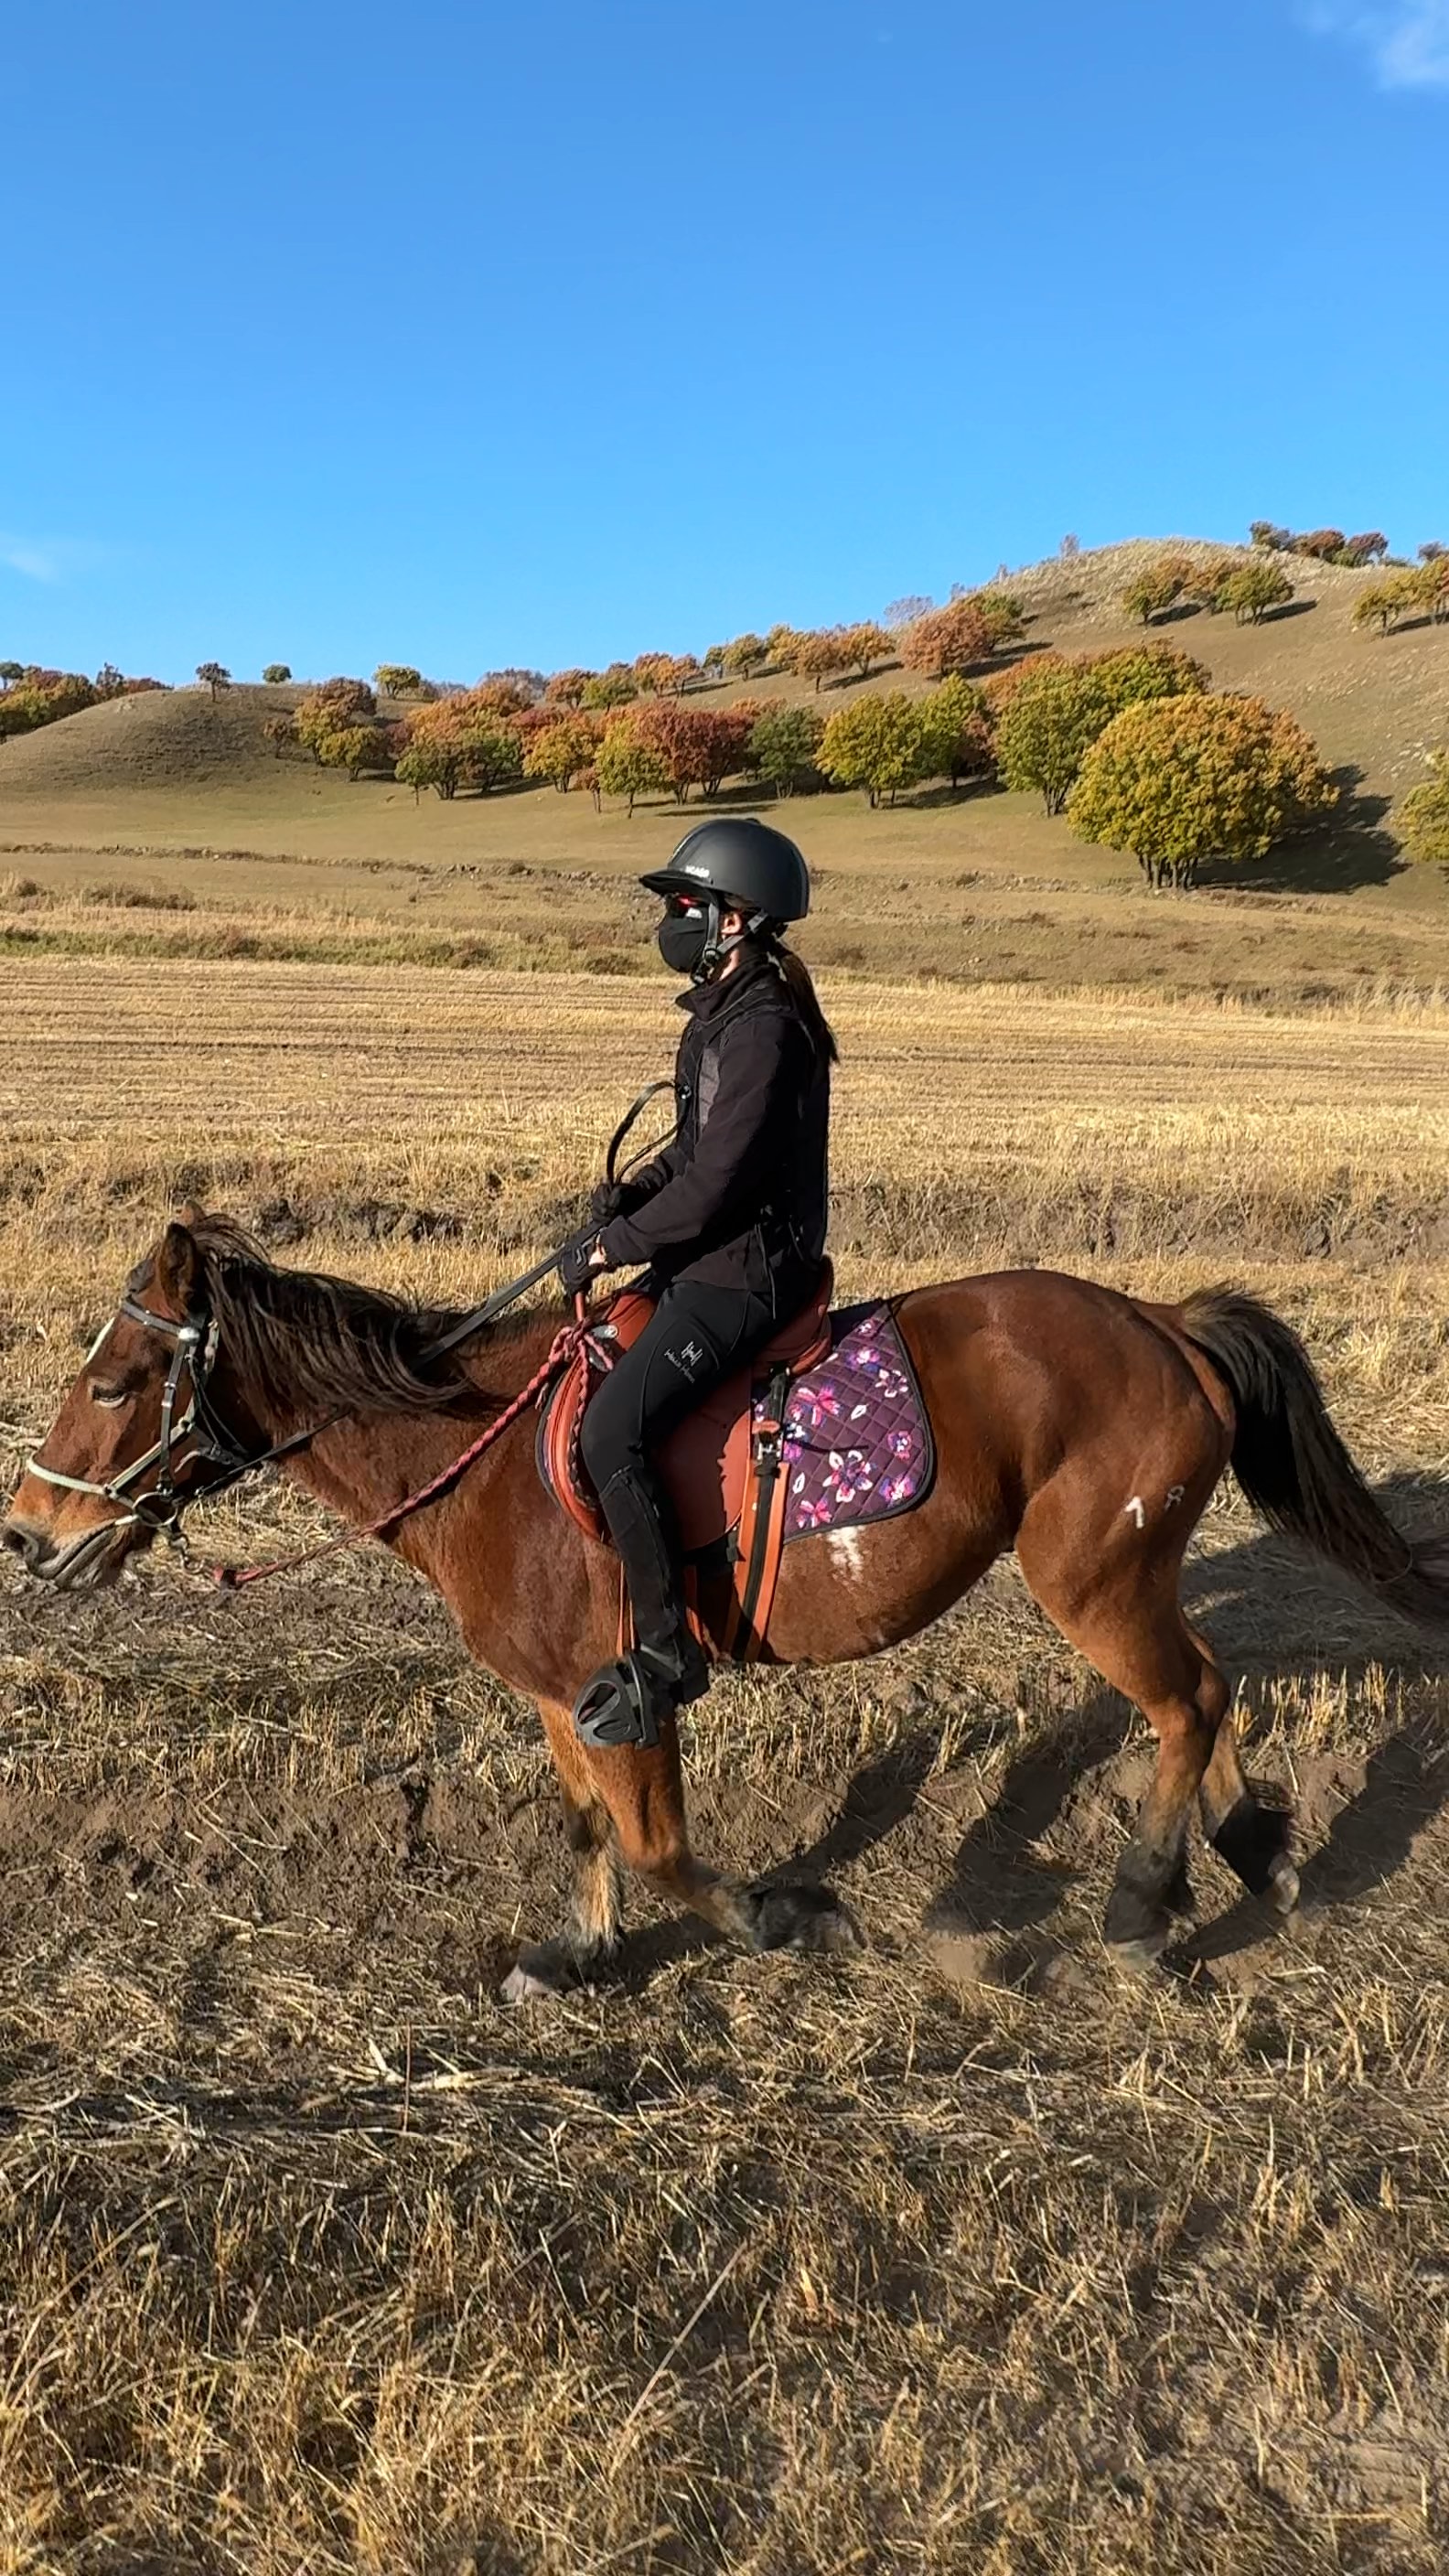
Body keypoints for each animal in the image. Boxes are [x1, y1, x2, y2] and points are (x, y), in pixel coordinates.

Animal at [5, 1205, 1433, 1988]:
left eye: (116, 1383)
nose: (25, 1532)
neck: (472, 1448)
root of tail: (1165, 1323)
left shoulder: (627, 1685)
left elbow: (656, 1843)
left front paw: (779, 1915)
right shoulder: (558, 1694)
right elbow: (587, 1827)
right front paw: (579, 1954)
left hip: (1094, 1575)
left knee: (1185, 1699)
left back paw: (1142, 1906)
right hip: (1134, 1571)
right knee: (1208, 1687)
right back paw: (1251, 1847)